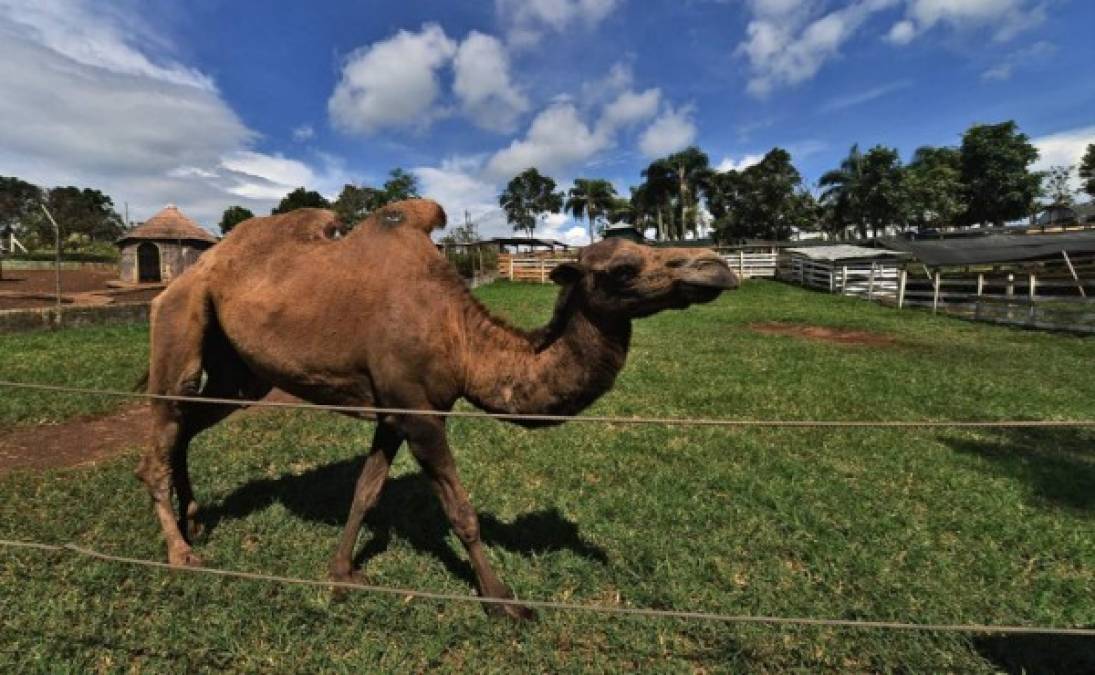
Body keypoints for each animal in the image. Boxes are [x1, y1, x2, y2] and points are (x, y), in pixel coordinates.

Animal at [134, 199, 735, 618]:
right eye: (623, 269)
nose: (716, 266)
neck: (460, 335)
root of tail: (191, 270)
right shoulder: (421, 416)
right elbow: (461, 513)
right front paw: (502, 600)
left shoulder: (398, 410)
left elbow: (366, 490)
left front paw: (342, 573)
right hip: (181, 319)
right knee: (161, 432)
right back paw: (181, 553)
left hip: (241, 373)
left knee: (188, 423)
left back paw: (195, 520)